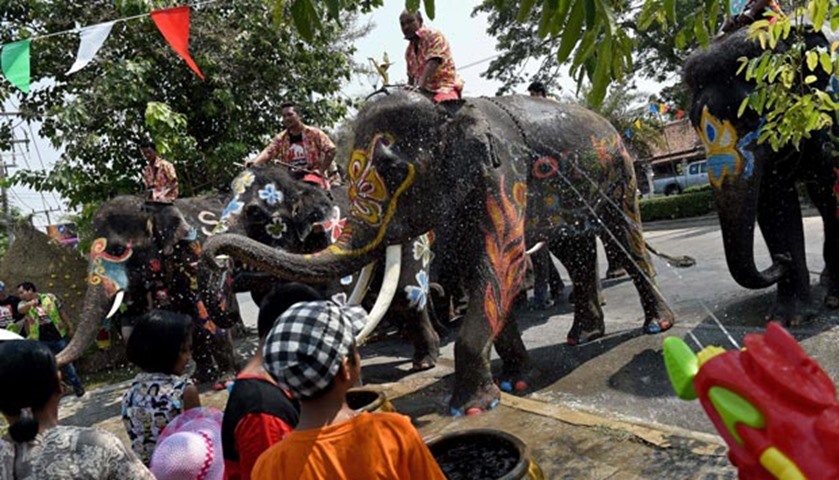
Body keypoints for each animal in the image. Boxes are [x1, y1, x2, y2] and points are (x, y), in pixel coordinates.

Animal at [56, 195, 240, 382]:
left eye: (119, 250)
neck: (151, 206)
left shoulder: (196, 251)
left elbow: (204, 309)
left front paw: (226, 377)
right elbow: (182, 316)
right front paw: (199, 377)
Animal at [208, 167, 442, 370]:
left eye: (254, 212)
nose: (218, 260)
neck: (298, 185)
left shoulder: (331, 241)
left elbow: (334, 301)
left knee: (406, 293)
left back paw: (425, 362)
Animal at [684, 28, 839, 324]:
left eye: (751, 118)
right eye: (695, 128)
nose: (779, 259)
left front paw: (833, 301)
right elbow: (774, 205)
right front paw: (789, 319)